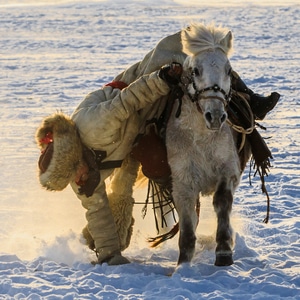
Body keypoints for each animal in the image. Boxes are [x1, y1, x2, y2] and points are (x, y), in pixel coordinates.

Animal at [165, 24, 252, 268]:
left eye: (228, 70)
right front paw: (183, 265)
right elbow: (187, 225)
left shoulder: (227, 171)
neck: (201, 139)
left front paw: (224, 252)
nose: (215, 116)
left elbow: (222, 202)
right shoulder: (183, 182)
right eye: (195, 71)